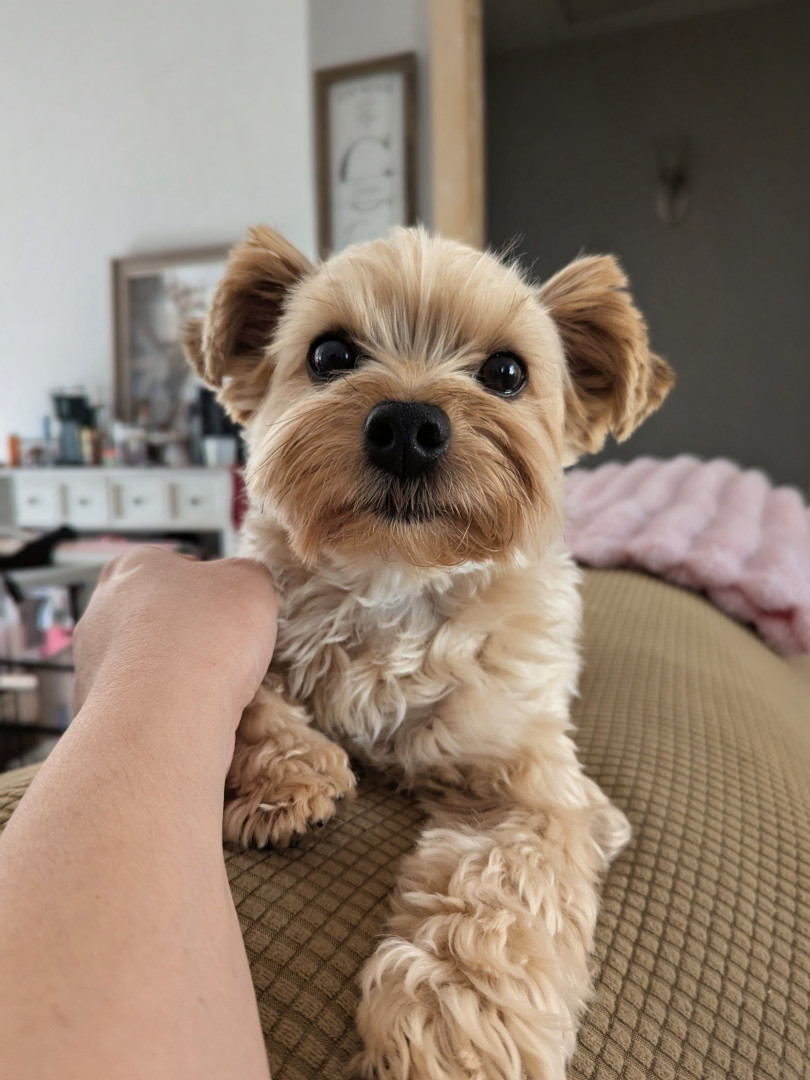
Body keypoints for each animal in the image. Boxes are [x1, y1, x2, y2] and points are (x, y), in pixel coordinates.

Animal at [184, 225, 673, 1080]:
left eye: (507, 373)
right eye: (330, 354)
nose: (408, 426)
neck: (396, 579)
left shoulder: (529, 786)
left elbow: (504, 895)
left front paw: (452, 1033)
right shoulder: (250, 613)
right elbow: (255, 701)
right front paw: (291, 780)